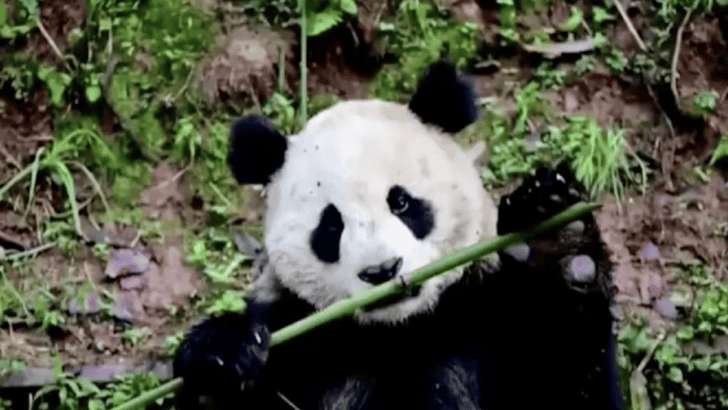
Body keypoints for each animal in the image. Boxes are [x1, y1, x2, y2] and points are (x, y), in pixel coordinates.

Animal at [173, 61, 623, 410]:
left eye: (402, 202)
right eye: (331, 225)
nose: (382, 271)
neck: (400, 332)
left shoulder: (483, 313)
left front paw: (556, 241)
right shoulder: (302, 337)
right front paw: (220, 358)